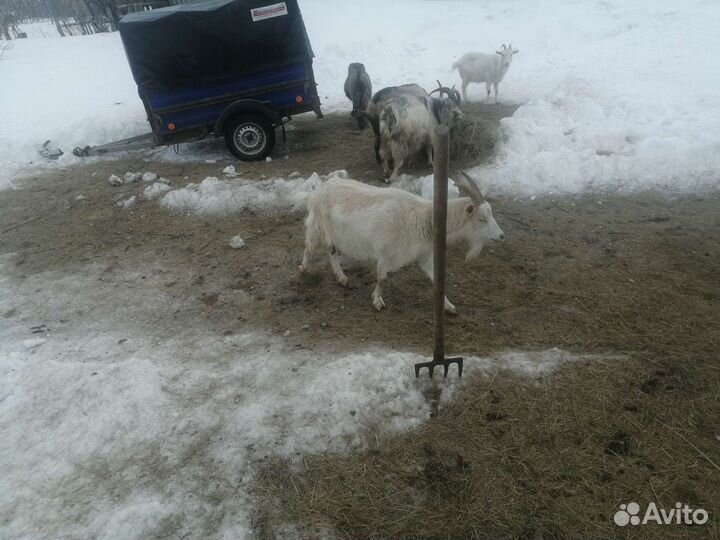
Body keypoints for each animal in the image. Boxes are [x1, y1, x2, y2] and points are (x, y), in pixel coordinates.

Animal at [298, 172, 504, 312]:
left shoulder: (423, 255)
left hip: (334, 235)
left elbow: (436, 279)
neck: (424, 220)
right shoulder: (385, 252)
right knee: (309, 248)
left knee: (332, 252)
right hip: (318, 227)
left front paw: (449, 306)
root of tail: (318, 191)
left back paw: (342, 278)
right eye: (481, 219)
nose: (501, 236)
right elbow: (382, 277)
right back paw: (303, 269)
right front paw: (377, 301)